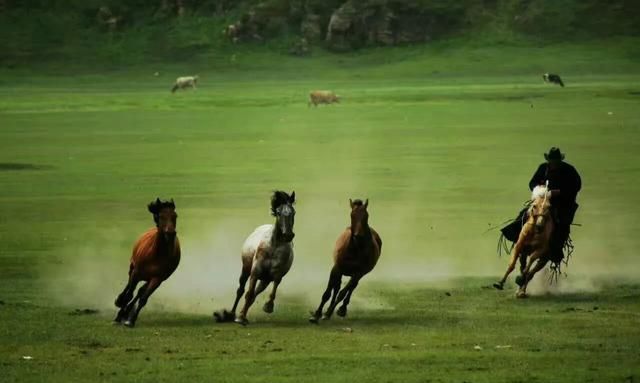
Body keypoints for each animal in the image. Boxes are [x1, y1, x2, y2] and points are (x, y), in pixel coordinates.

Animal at [114, 200, 180, 328]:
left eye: (175, 216)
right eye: (161, 216)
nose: (170, 233)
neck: (156, 254)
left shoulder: (157, 279)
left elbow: (143, 298)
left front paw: (130, 320)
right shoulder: (136, 273)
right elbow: (129, 294)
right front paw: (119, 314)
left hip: (149, 279)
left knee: (140, 292)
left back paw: (127, 312)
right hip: (132, 268)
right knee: (129, 287)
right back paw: (120, 303)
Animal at [214, 190, 296, 326]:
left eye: (293, 212)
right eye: (279, 212)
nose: (288, 235)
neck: (274, 246)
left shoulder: (276, 274)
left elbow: (272, 288)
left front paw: (268, 306)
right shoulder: (255, 272)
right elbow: (248, 293)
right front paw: (240, 317)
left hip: (265, 280)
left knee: (254, 295)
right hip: (246, 270)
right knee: (241, 290)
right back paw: (232, 314)